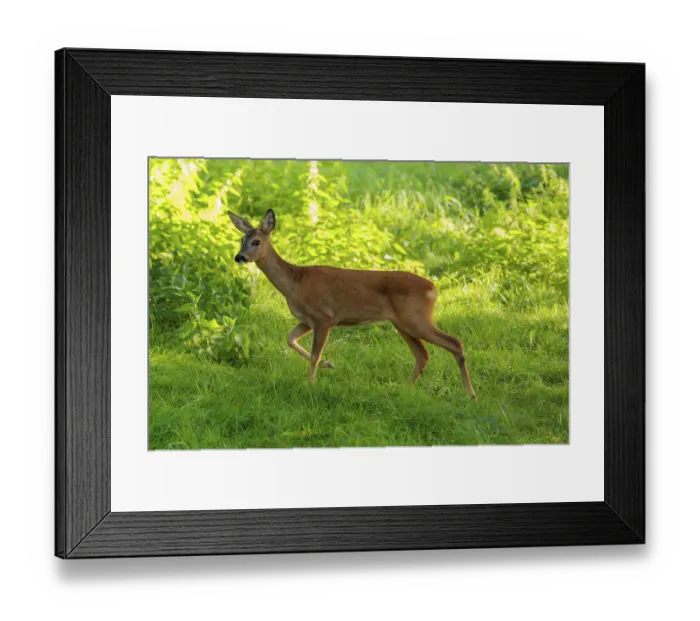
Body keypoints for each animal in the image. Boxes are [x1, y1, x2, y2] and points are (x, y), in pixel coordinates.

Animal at [228, 209, 477, 401]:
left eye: (257, 241)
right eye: (241, 240)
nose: (239, 257)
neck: (295, 283)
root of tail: (433, 289)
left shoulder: (324, 316)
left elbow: (315, 353)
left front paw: (311, 383)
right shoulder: (307, 320)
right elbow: (290, 339)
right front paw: (328, 365)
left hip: (416, 318)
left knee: (454, 343)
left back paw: (471, 394)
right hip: (403, 322)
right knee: (423, 354)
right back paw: (404, 389)